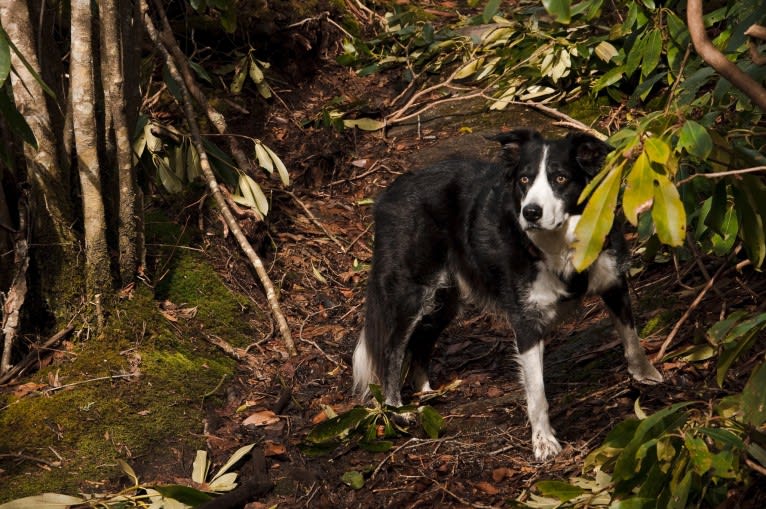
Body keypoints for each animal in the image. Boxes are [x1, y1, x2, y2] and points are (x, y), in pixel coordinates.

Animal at [354, 128, 664, 460]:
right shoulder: (526, 321)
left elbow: (631, 337)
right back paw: (397, 411)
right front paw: (543, 441)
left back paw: (425, 394)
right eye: (524, 180)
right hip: (411, 292)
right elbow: (537, 391)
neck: (559, 244)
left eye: (560, 178)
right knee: (392, 349)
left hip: (444, 300)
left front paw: (647, 374)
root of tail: (389, 193)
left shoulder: (613, 281)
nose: (531, 212)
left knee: (422, 340)